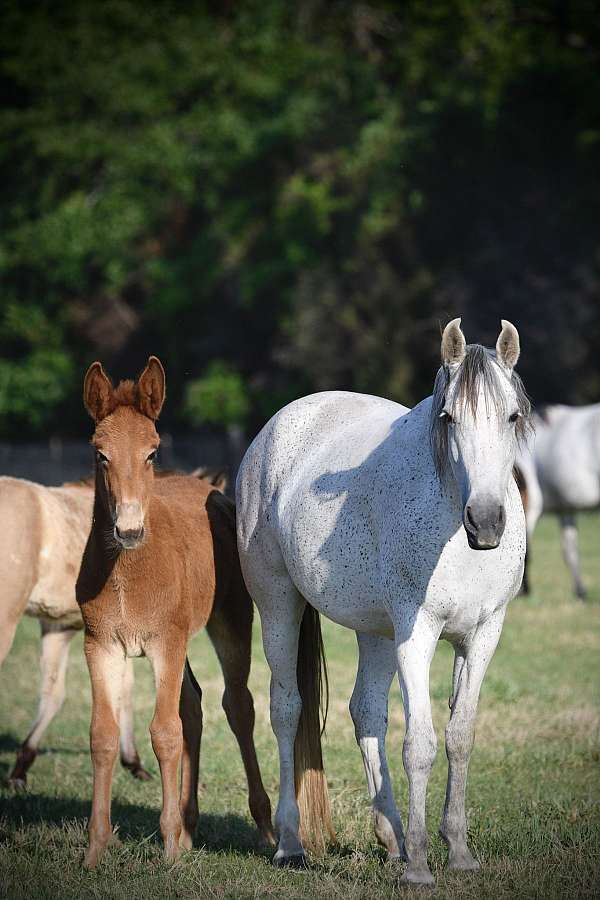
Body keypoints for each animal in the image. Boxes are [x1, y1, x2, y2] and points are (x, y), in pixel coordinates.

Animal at [75, 356, 274, 864]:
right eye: (100, 454)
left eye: (151, 453)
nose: (128, 530)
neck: (127, 573)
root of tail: (213, 490)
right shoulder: (100, 645)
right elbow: (103, 736)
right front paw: (95, 849)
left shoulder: (165, 642)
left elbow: (164, 732)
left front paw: (167, 852)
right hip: (181, 639)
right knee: (194, 705)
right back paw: (188, 827)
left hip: (228, 623)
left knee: (237, 706)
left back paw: (264, 828)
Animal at [237, 320, 528, 884]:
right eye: (448, 417)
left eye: (512, 415)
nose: (485, 522)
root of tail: (274, 429)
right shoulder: (418, 635)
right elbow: (420, 744)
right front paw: (418, 865)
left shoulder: (484, 634)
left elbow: (459, 736)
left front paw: (458, 851)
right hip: (278, 605)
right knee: (286, 710)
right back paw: (290, 843)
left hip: (374, 632)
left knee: (366, 712)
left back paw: (389, 835)